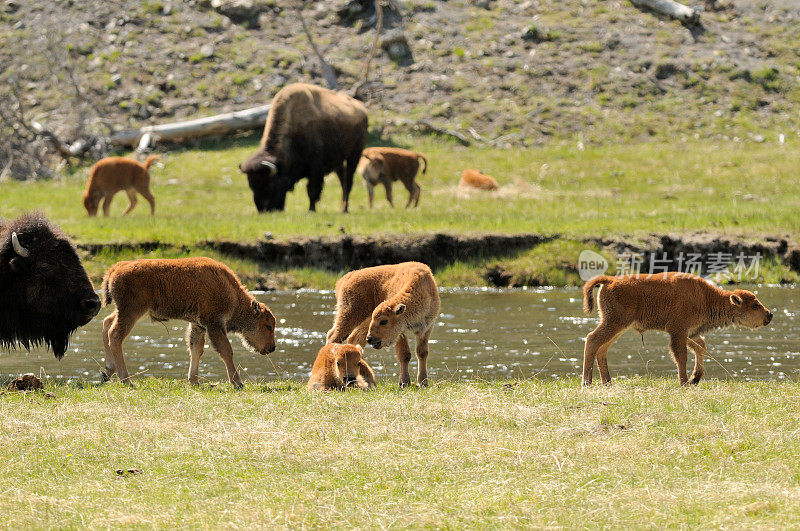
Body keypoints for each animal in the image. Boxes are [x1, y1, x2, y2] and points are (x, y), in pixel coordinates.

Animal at [100, 256, 278, 386]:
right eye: (268, 326)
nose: (272, 347)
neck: (232, 294)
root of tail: (117, 268)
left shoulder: (198, 325)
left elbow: (196, 349)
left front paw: (194, 381)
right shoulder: (214, 324)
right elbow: (226, 350)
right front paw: (237, 383)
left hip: (125, 312)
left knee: (106, 323)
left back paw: (107, 373)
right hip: (131, 312)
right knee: (115, 336)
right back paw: (126, 380)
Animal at [238, 82, 368, 213]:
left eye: (270, 185)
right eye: (251, 186)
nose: (264, 210)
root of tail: (362, 109)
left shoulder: (315, 168)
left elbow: (312, 190)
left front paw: (311, 210)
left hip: (354, 155)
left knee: (349, 182)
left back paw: (344, 210)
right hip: (339, 162)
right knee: (343, 181)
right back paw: (342, 209)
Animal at [580, 274, 776, 386]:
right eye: (755, 305)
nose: (770, 314)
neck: (705, 296)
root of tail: (611, 280)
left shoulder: (688, 332)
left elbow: (701, 346)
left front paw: (695, 379)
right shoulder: (678, 331)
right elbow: (681, 356)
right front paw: (684, 382)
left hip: (618, 326)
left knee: (602, 348)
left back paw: (607, 382)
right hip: (615, 323)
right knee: (592, 339)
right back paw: (587, 382)